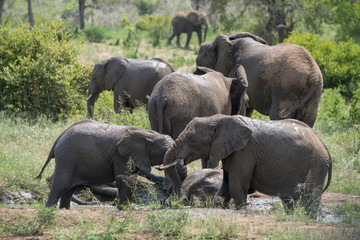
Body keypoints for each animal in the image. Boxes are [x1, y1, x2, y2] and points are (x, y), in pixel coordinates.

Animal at [37, 119, 187, 208]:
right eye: (165, 152)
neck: (147, 133)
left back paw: (65, 210)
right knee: (59, 186)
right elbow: (125, 179)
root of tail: (58, 139)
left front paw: (127, 207)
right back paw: (49, 210)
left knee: (69, 191)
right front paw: (124, 208)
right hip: (66, 158)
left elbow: (131, 179)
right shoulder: (121, 155)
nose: (164, 202)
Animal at [156, 114, 334, 216]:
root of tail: (325, 146)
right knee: (289, 199)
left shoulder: (244, 152)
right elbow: (226, 186)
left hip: (316, 166)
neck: (218, 119)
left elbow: (236, 186)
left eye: (192, 140)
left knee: (310, 197)